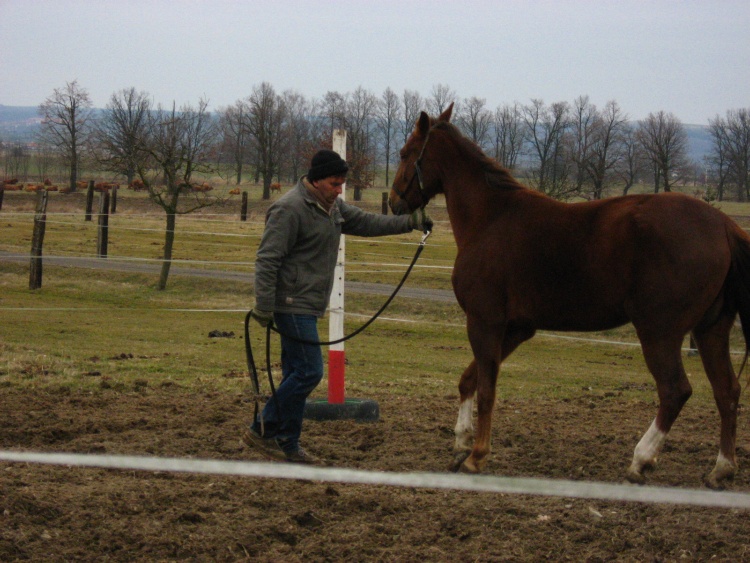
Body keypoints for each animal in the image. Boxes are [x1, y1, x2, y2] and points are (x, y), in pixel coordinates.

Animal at [394, 104, 750, 490]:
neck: (490, 219)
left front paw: (477, 455)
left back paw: (641, 460)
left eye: (405, 153)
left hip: (659, 332)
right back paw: (721, 468)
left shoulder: (485, 322)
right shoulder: (515, 328)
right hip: (710, 330)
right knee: (727, 392)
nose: (395, 201)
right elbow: (469, 380)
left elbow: (486, 390)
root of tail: (723, 224)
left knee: (675, 390)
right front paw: (461, 443)